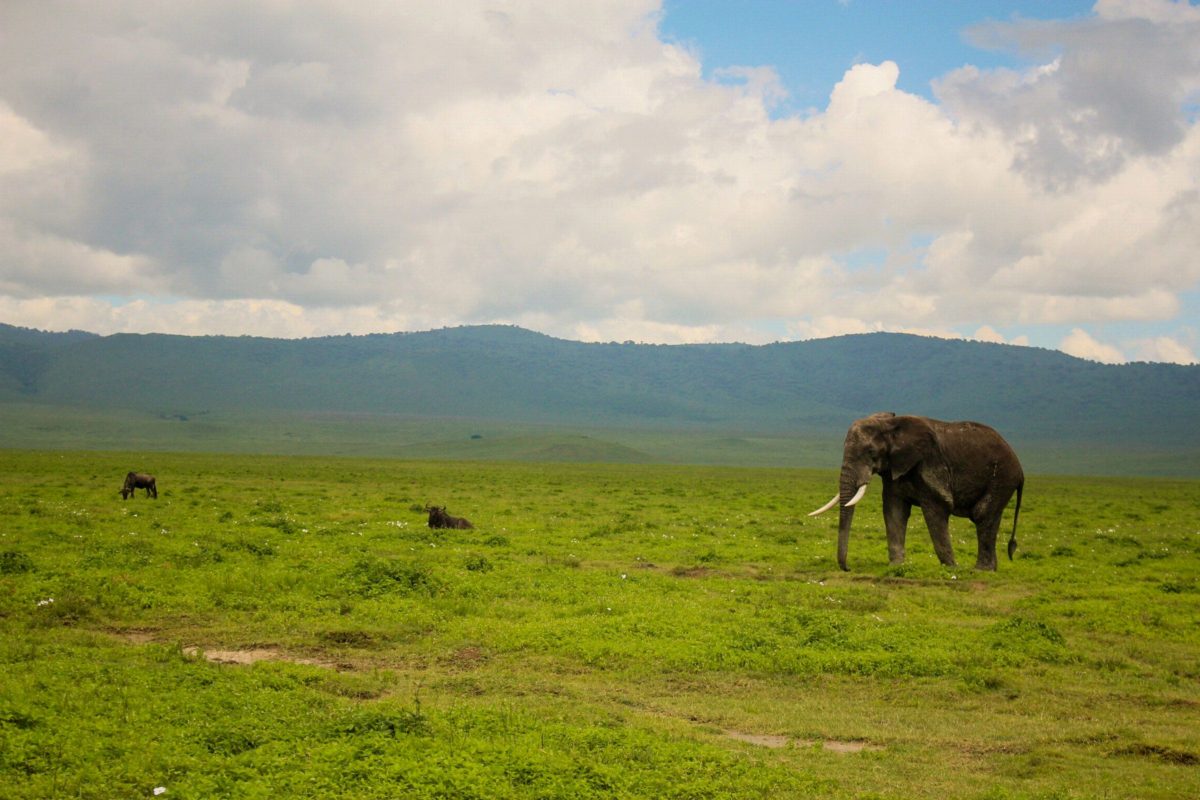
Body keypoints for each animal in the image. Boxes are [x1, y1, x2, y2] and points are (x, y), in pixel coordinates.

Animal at [809, 413, 1023, 571]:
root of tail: (1020, 470)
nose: (848, 568)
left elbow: (935, 510)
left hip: (1001, 478)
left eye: (871, 452)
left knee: (983, 515)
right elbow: (894, 510)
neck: (891, 424)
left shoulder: (930, 466)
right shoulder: (894, 470)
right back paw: (989, 569)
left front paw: (951, 568)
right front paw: (896, 566)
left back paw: (980, 570)